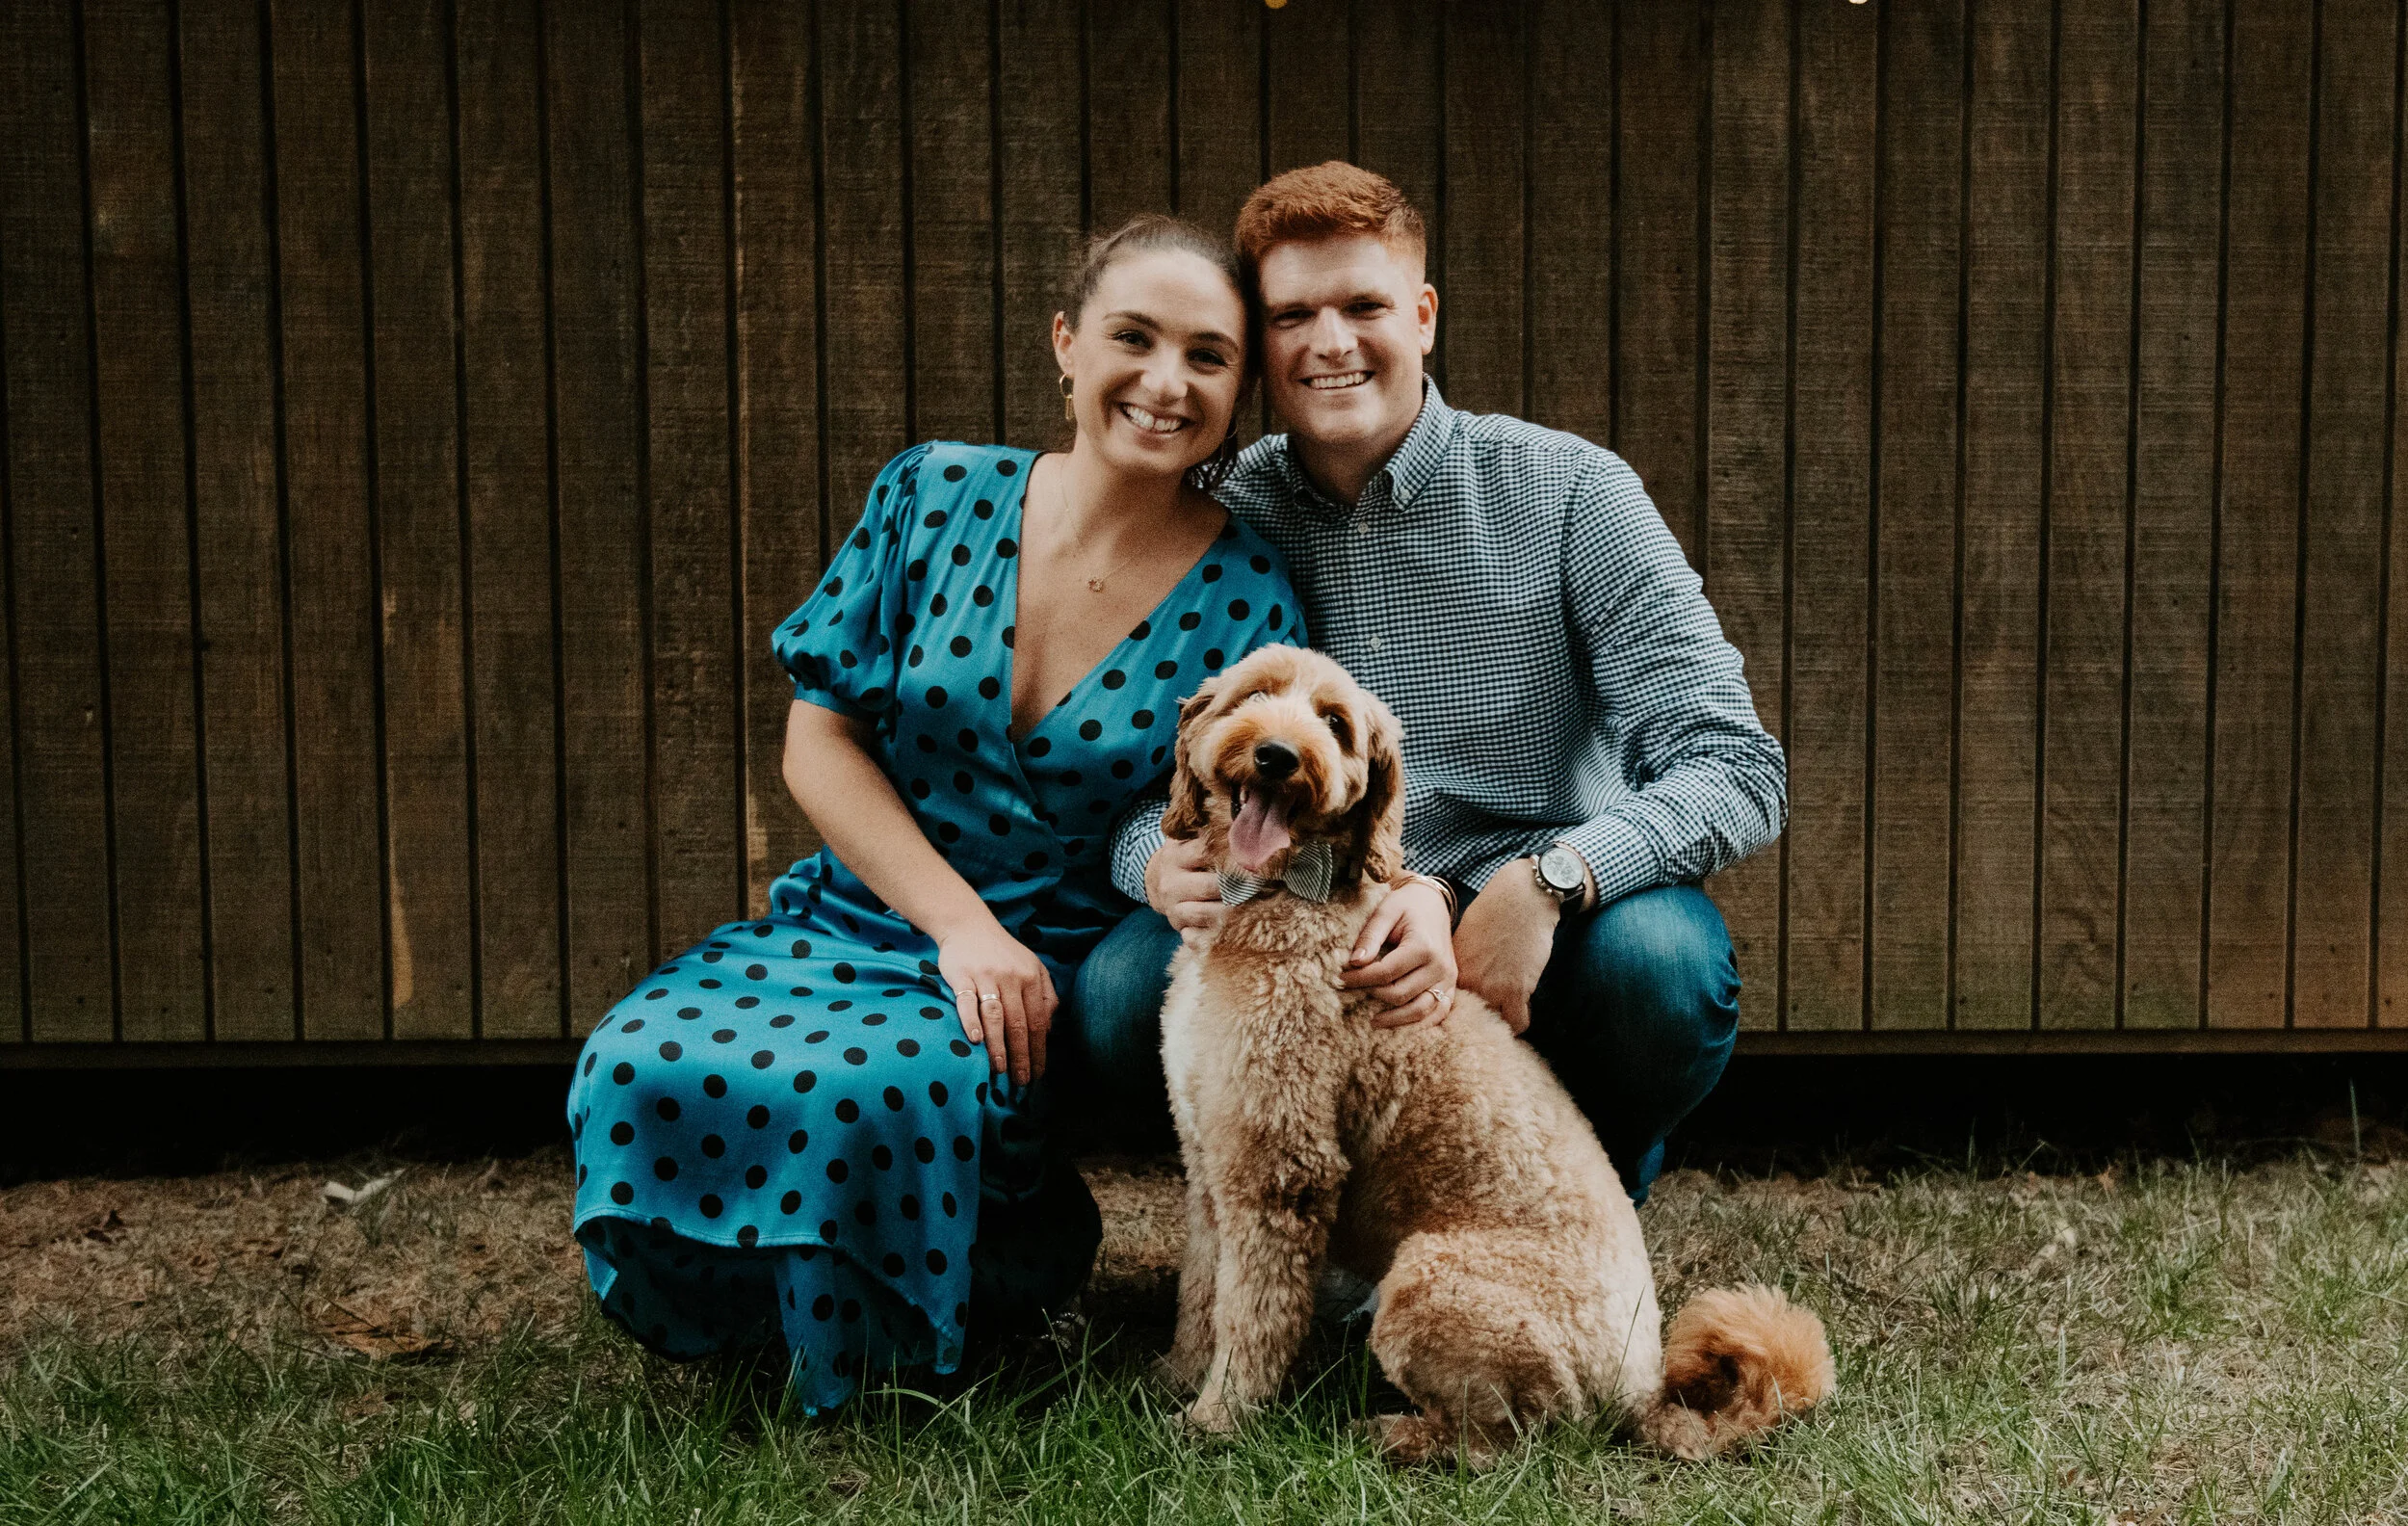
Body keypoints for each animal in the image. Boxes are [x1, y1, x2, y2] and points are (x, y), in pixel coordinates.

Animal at [1153, 645, 1834, 1464]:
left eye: (1335, 724)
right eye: (1253, 695)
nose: (1279, 755)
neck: (1275, 901)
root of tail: (1642, 1389)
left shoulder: (1280, 1173)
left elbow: (1252, 1313)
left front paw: (1218, 1418)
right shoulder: (1208, 1158)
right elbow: (1200, 1291)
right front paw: (1174, 1377)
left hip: (1433, 1282)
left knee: (1521, 1435)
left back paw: (1401, 1434)